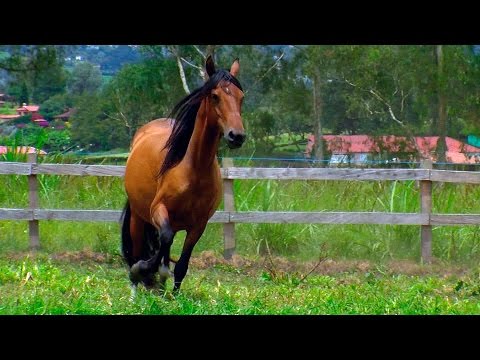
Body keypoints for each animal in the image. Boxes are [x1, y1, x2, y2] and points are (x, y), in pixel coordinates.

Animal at [122, 55, 246, 292]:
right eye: (215, 96)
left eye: (241, 98)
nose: (237, 136)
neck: (194, 169)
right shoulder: (158, 209)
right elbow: (165, 238)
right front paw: (143, 270)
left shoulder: (198, 225)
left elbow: (181, 265)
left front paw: (173, 292)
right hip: (138, 217)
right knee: (137, 252)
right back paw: (136, 284)